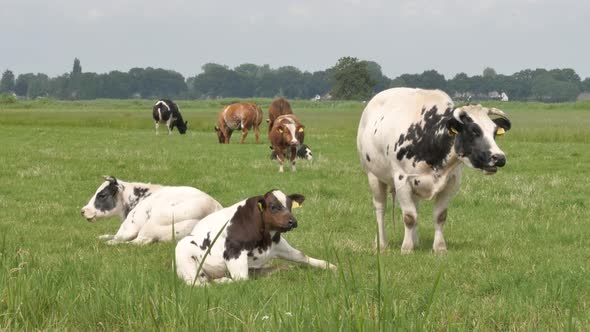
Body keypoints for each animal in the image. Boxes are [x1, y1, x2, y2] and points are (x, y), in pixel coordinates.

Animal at [80, 176, 223, 244]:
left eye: (102, 195)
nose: (83, 210)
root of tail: (213, 207)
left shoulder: (129, 227)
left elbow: (117, 237)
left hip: (150, 225)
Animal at [173, 189, 336, 286]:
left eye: (290, 206)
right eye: (273, 206)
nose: (293, 221)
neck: (265, 240)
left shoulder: (278, 245)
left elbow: (302, 256)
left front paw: (330, 266)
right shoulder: (234, 252)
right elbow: (242, 279)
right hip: (185, 255)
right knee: (199, 283)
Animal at [356, 87, 512, 253]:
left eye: (494, 132)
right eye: (474, 131)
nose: (499, 157)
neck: (429, 137)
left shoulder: (452, 182)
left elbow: (439, 216)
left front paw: (439, 247)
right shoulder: (402, 180)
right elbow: (409, 217)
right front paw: (406, 248)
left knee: (415, 207)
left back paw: (415, 241)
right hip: (373, 175)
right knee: (380, 208)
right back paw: (381, 244)